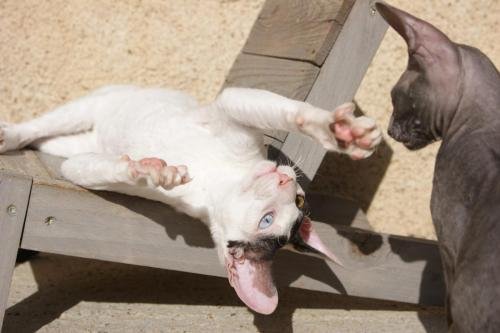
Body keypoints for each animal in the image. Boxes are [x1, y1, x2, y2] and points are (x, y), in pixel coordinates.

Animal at [0, 84, 380, 312]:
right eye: (270, 218)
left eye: (288, 209)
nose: (286, 179)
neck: (215, 177)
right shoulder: (230, 104)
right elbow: (293, 112)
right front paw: (338, 131)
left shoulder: (76, 166)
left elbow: (99, 169)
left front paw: (146, 170)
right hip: (98, 102)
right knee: (39, 126)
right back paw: (9, 136)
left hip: (73, 143)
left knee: (51, 140)